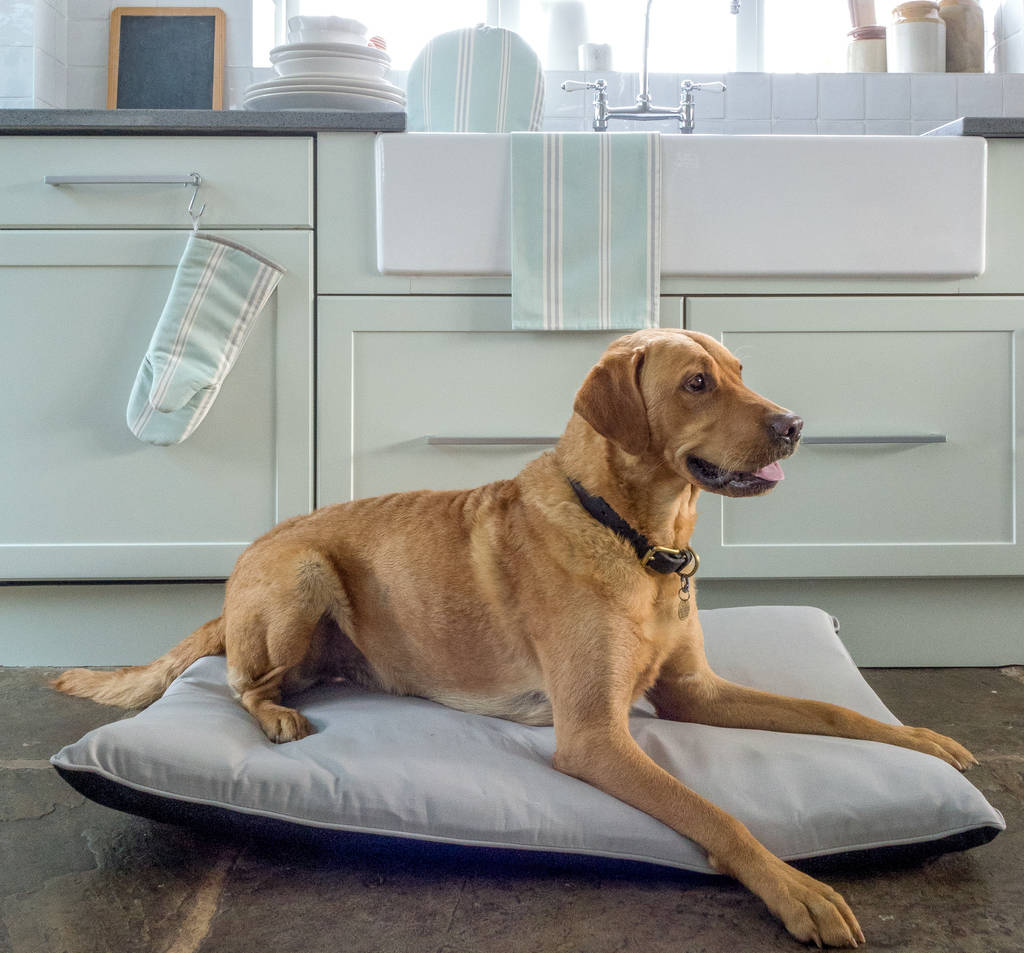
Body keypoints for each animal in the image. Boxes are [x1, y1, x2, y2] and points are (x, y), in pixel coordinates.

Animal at [58, 331, 974, 949]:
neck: (639, 541)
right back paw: (275, 713)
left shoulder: (695, 690)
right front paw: (797, 888)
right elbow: (715, 812)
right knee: (241, 681)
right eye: (697, 382)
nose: (795, 424)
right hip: (303, 574)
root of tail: (242, 565)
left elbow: (834, 712)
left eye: (743, 372)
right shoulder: (596, 734)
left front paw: (922, 739)